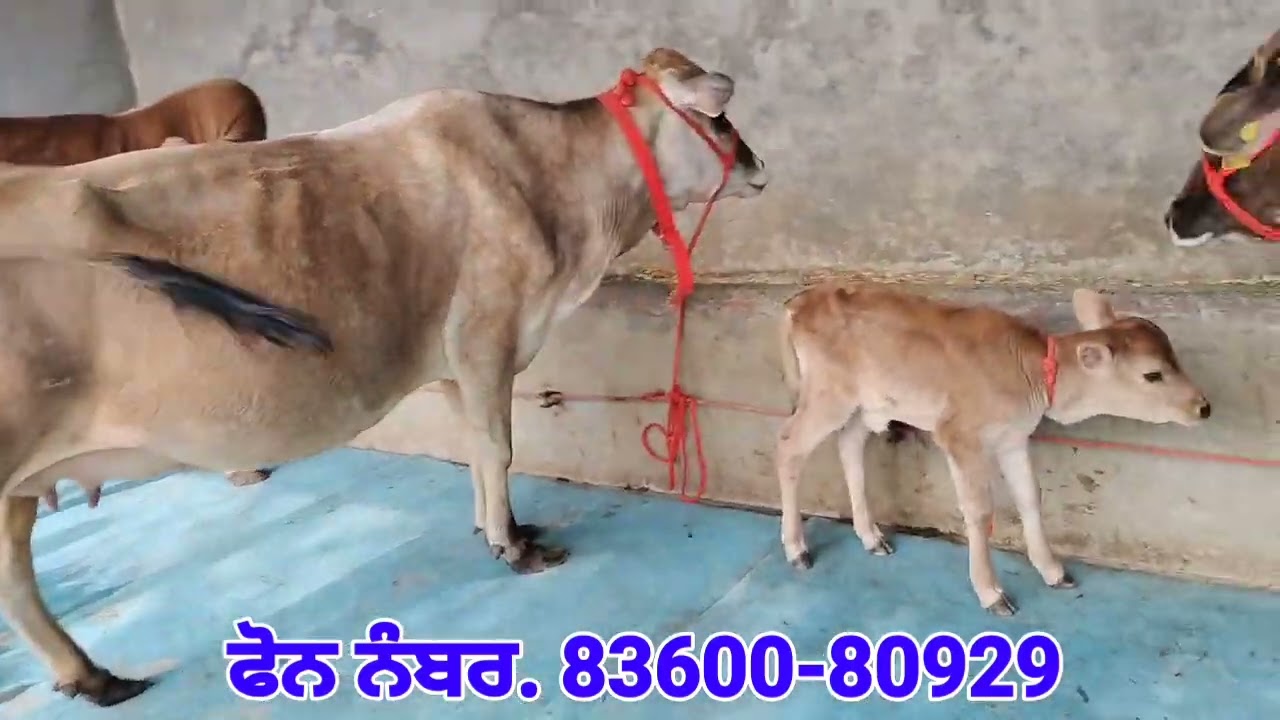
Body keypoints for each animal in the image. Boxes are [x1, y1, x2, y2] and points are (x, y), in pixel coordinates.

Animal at [774, 283, 1210, 616]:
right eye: (1152, 375)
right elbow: (980, 512)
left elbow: (1030, 497)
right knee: (789, 446)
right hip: (828, 394)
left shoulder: (1014, 438)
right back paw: (797, 550)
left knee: (849, 445)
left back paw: (871, 537)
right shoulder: (959, 435)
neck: (1032, 375)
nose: (1203, 406)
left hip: (866, 405)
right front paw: (992, 594)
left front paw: (1054, 571)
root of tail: (799, 302)